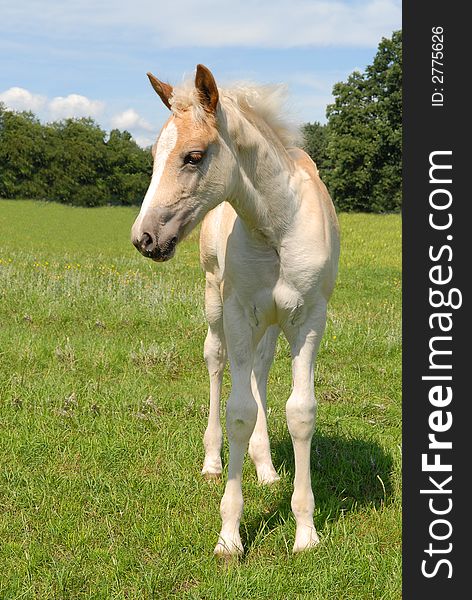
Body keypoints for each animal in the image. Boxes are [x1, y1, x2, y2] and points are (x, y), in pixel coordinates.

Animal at [131, 63, 342, 556]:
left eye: (193, 156)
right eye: (154, 155)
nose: (144, 238)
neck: (276, 229)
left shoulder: (309, 319)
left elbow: (300, 411)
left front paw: (306, 532)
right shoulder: (238, 312)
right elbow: (239, 411)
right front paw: (229, 535)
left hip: (273, 323)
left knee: (260, 371)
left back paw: (266, 469)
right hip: (215, 301)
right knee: (217, 360)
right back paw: (212, 461)